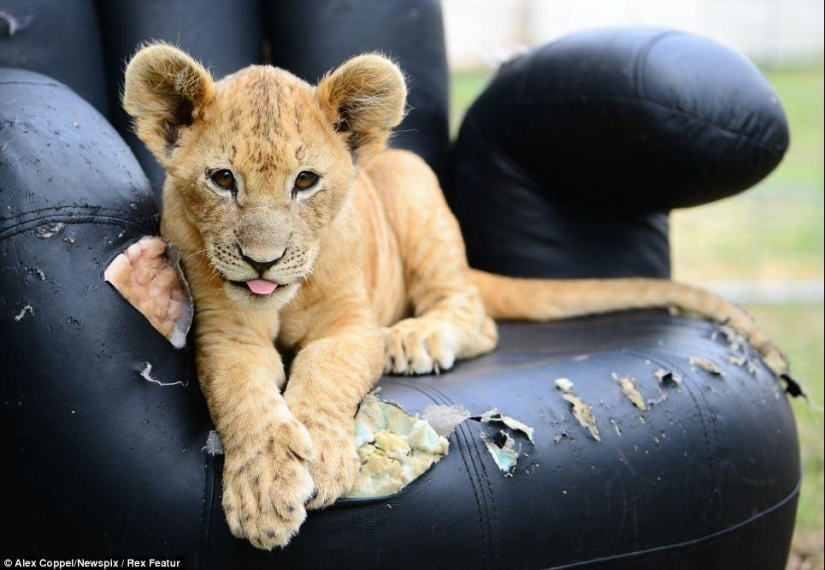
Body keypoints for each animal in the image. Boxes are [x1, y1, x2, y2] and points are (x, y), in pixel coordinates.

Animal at [122, 44, 788, 550]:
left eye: (305, 181)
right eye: (222, 179)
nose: (262, 260)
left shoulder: (352, 324)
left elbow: (325, 374)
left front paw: (323, 460)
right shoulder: (224, 329)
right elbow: (245, 398)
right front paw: (264, 490)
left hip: (416, 189)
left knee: (475, 315)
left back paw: (415, 338)